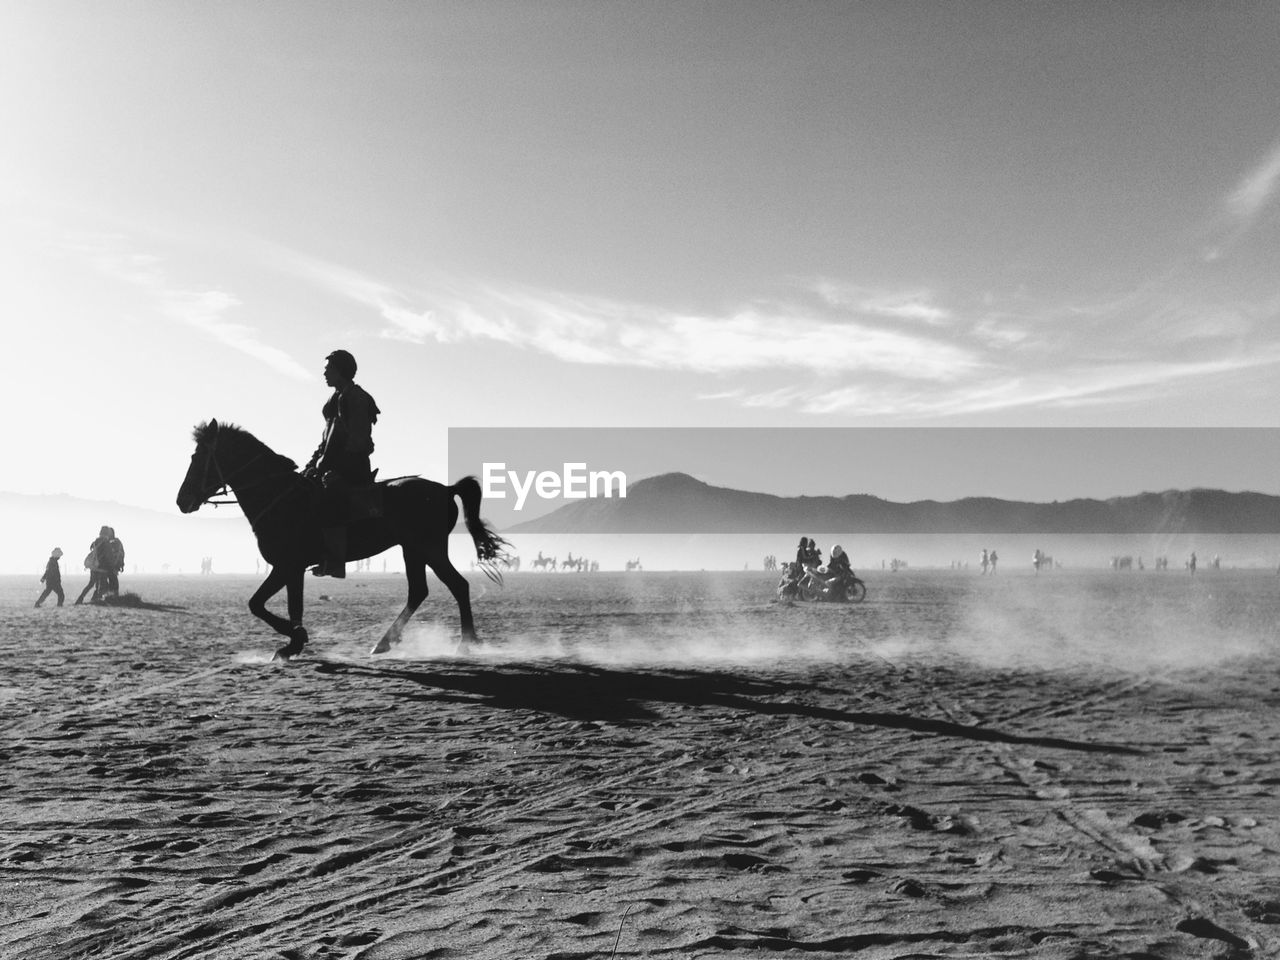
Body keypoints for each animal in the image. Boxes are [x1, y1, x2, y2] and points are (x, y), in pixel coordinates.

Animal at [177, 419, 506, 660]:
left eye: (198, 457)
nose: (182, 500)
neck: (281, 497)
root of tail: (446, 489)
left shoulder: (285, 566)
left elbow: (257, 604)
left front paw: (295, 639)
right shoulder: (293, 569)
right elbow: (292, 606)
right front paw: (294, 643)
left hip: (429, 548)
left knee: (458, 586)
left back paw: (465, 643)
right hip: (412, 549)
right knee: (418, 591)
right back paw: (384, 643)